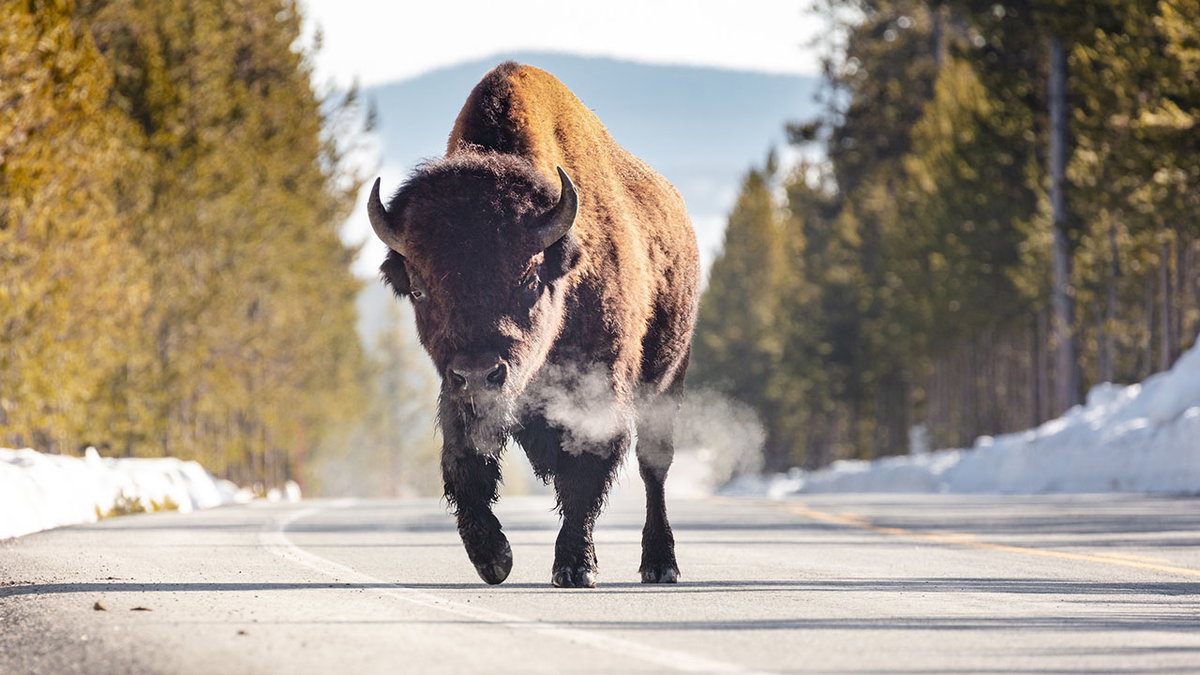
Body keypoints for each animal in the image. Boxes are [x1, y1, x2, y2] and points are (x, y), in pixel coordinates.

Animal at [368, 62, 700, 588]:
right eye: (419, 289)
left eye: (527, 277)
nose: (479, 373)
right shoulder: (457, 395)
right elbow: (465, 462)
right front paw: (493, 557)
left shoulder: (596, 393)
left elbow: (585, 469)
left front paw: (575, 566)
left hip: (668, 379)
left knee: (655, 466)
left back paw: (660, 563)